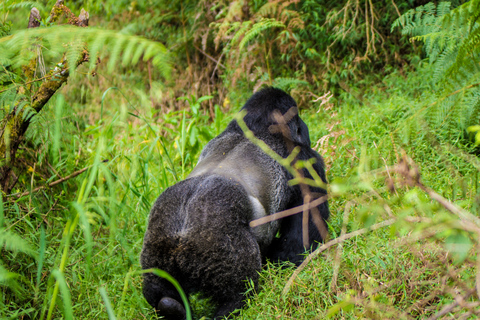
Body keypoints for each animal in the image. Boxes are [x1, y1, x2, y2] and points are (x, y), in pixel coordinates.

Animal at [140, 86, 330, 318]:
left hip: (156, 249)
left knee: (157, 290)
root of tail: (180, 234)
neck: (256, 127)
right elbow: (299, 240)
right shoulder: (304, 160)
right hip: (218, 247)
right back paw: (229, 307)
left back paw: (170, 307)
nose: (305, 128)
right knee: (239, 292)